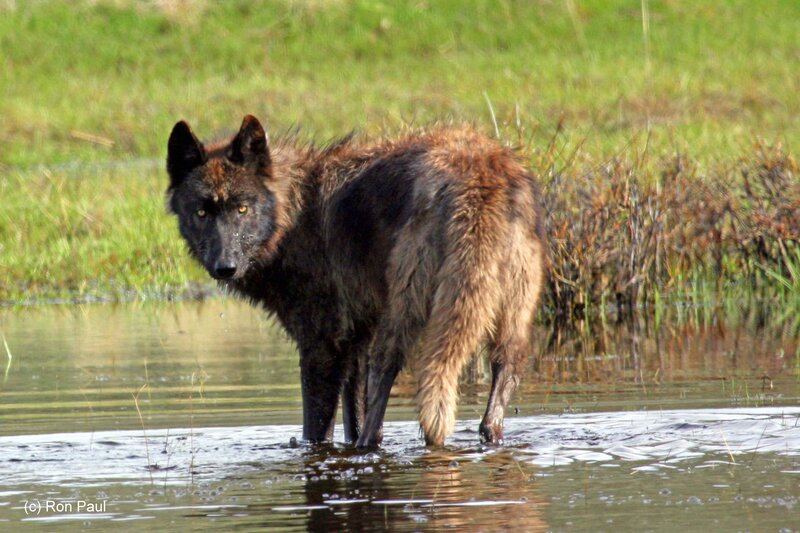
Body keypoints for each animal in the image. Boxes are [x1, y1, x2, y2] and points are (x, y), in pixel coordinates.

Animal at [166, 115, 545, 447]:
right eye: (202, 212)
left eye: (242, 209)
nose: (224, 267)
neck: (295, 215)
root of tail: (482, 172)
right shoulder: (357, 338)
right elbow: (354, 414)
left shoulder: (322, 346)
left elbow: (318, 430)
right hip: (509, 316)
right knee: (503, 375)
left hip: (403, 312)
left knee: (389, 378)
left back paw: (367, 448)